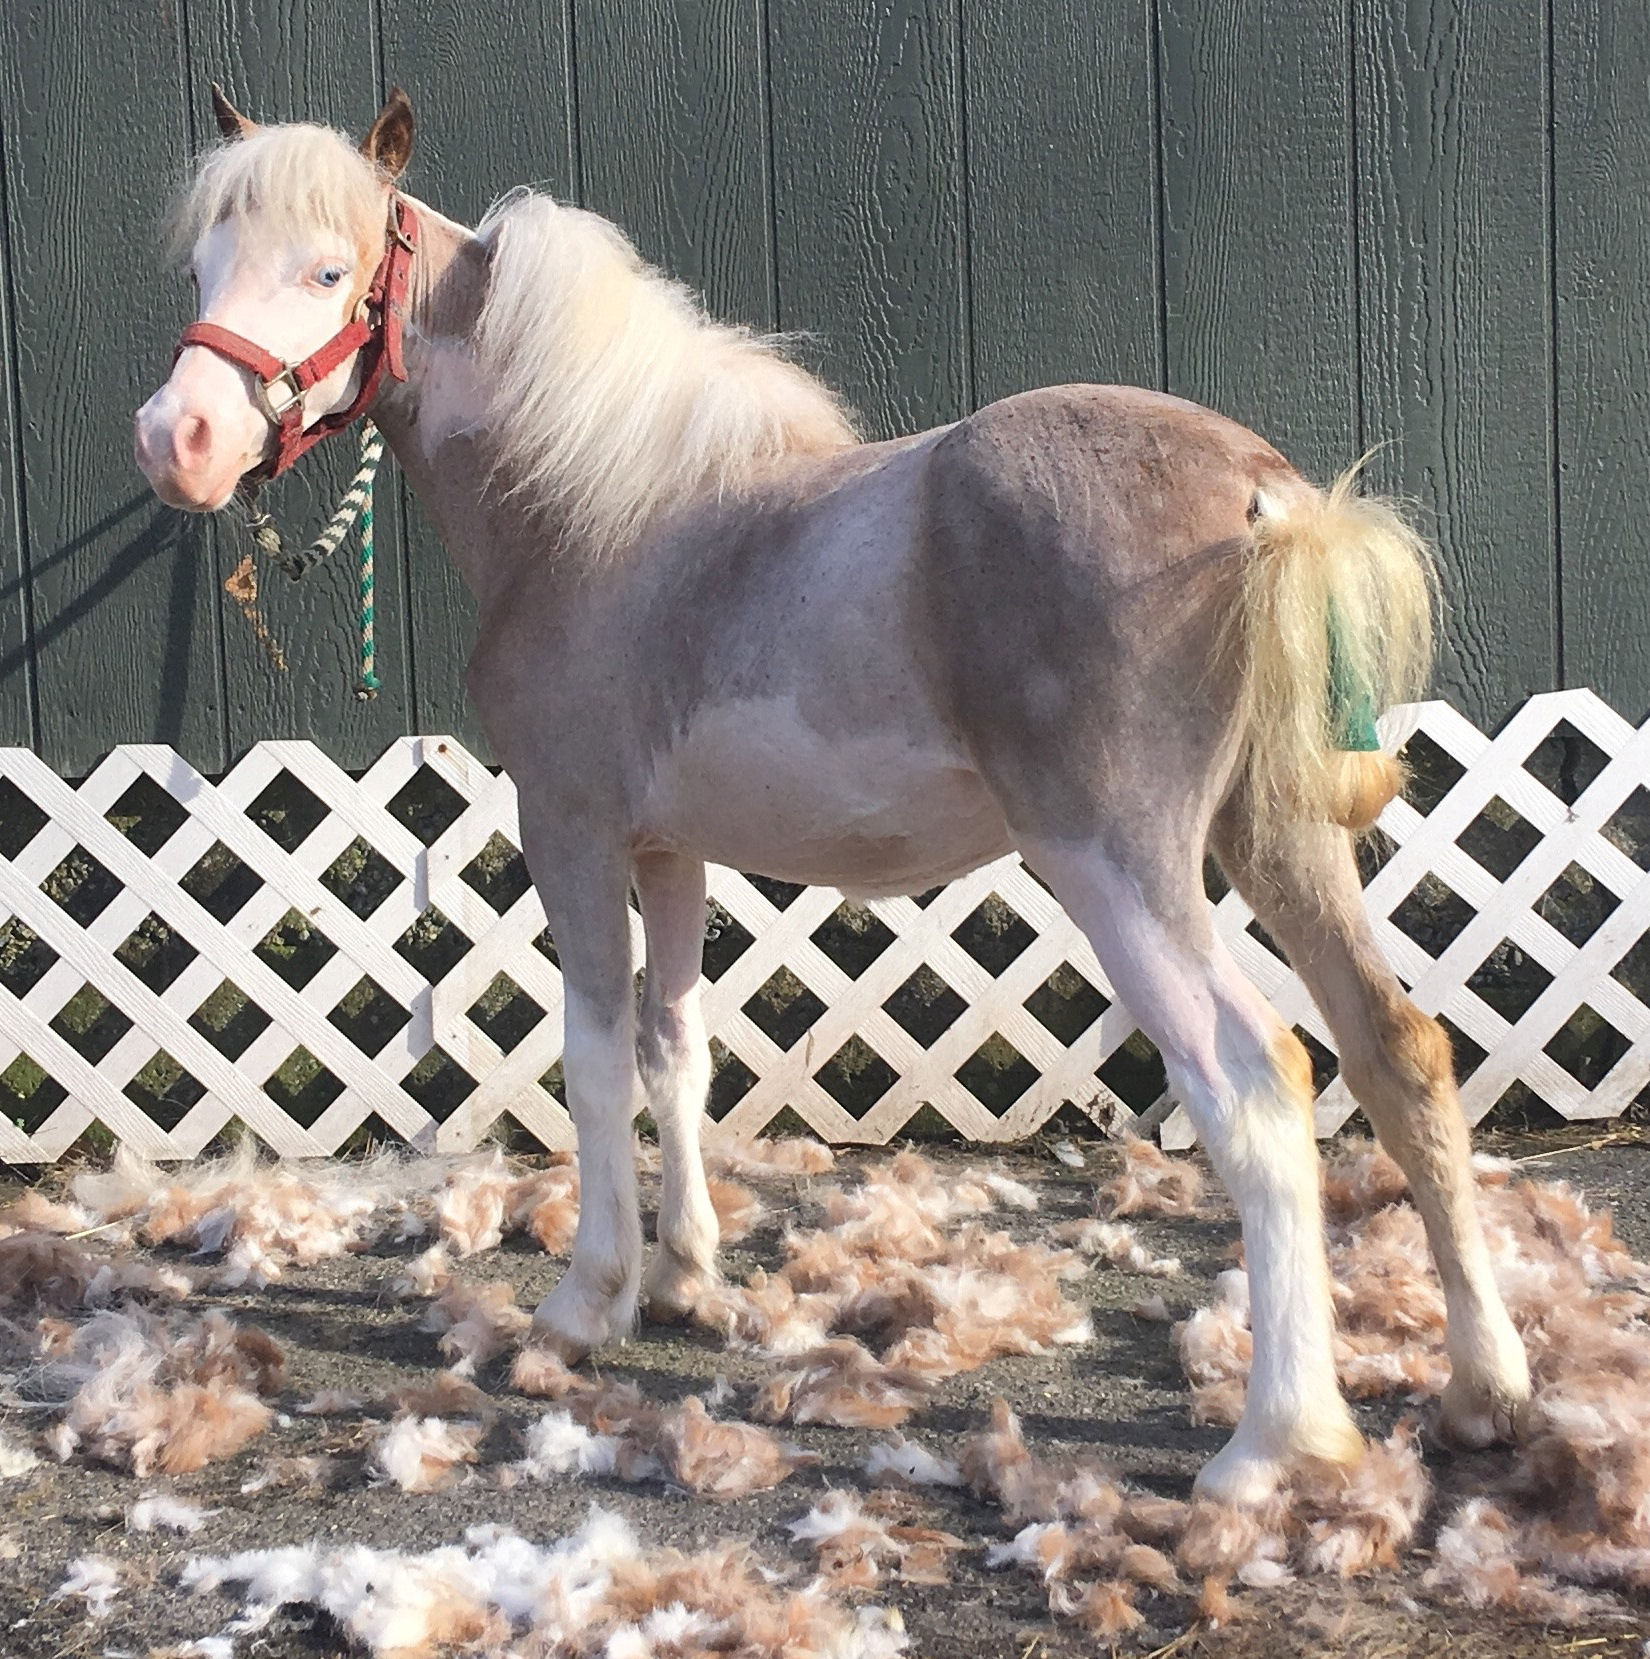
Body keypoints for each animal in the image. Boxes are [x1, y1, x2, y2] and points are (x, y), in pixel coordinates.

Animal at [134, 88, 1530, 1505]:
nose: (175, 442)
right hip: (1279, 840)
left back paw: (1273, 1443)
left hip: (1121, 870)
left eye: (328, 271)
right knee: (1399, 1054)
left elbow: (593, 1058)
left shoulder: (570, 830)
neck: (596, 513)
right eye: (201, 267)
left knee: (1256, 1084)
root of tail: (1262, 493)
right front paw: (686, 1280)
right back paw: (1485, 1394)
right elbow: (675, 1050)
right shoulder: (668, 854)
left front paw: (588, 1303)